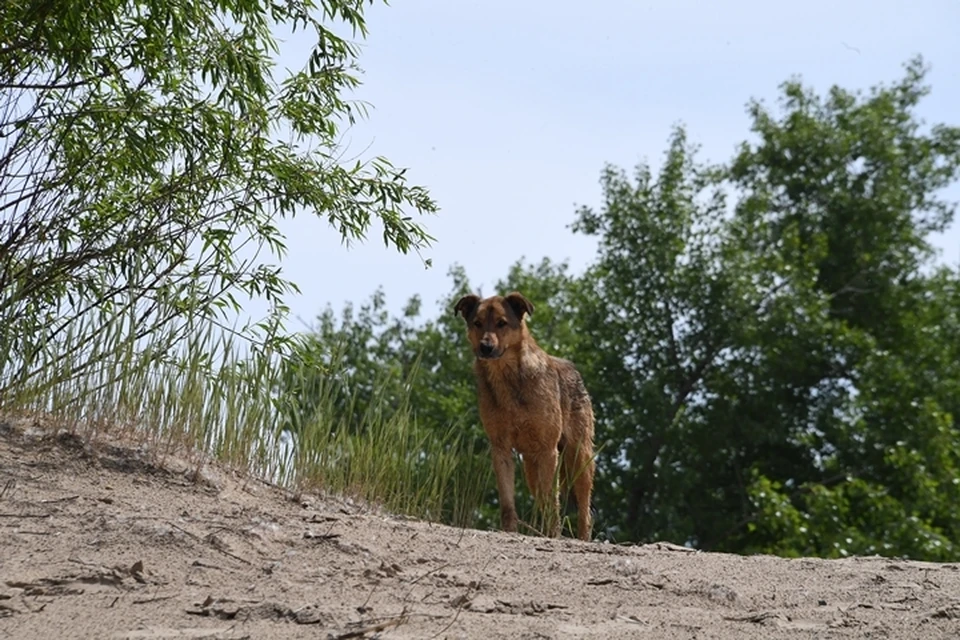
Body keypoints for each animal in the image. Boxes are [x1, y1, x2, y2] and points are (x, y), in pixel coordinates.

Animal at [456, 292, 596, 540]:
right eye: (477, 323)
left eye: (502, 323)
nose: (485, 347)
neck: (506, 377)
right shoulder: (501, 449)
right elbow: (507, 503)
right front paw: (510, 531)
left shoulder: (548, 450)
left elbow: (552, 502)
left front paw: (553, 534)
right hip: (532, 468)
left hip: (579, 457)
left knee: (584, 512)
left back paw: (581, 539)